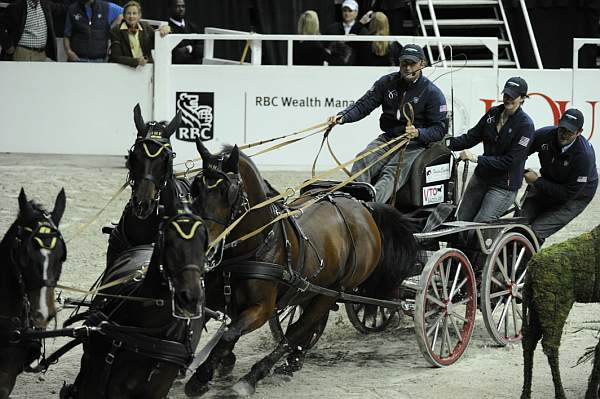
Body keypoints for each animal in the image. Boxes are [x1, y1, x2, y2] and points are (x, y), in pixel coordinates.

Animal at [63, 178, 209, 399]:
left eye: (205, 243)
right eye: (169, 240)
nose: (191, 298)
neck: (147, 329)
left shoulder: (155, 388)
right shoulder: (95, 375)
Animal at [520, 225, 600, 399]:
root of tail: (530, 268)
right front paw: (591, 394)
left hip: (534, 307)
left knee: (529, 341)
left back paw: (526, 394)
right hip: (556, 306)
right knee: (550, 345)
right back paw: (560, 394)